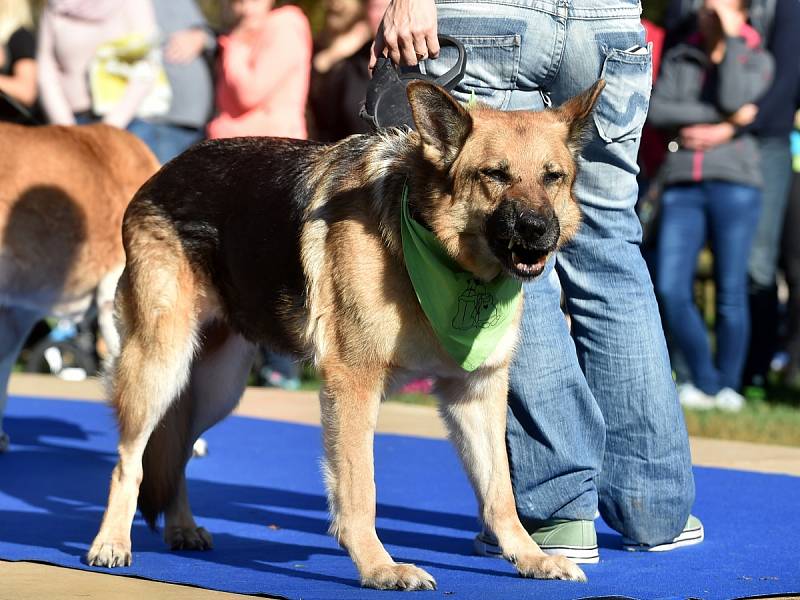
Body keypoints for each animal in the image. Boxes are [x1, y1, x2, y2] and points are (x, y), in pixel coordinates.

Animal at [87, 77, 604, 588]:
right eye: (494, 175)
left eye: (553, 177)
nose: (537, 229)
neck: (433, 249)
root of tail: (164, 171)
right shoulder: (353, 386)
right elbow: (359, 488)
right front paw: (379, 567)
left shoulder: (475, 393)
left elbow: (500, 493)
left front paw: (530, 556)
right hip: (162, 366)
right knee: (128, 462)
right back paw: (111, 542)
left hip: (218, 388)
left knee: (174, 454)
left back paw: (181, 527)